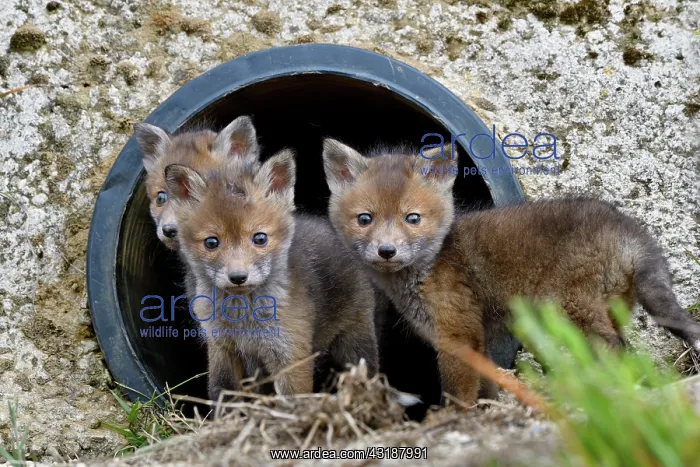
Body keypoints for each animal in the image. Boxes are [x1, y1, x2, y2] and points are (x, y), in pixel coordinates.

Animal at [165, 150, 378, 400]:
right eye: (211, 242)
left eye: (259, 238)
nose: (238, 277)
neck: (243, 320)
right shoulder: (222, 348)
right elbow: (222, 391)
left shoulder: (291, 356)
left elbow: (293, 399)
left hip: (355, 340)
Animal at [321, 138, 700, 406]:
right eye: (365, 219)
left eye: (412, 218)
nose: (387, 251)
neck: (431, 263)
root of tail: (628, 226)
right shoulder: (477, 338)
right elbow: (488, 386)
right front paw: (489, 411)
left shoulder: (459, 335)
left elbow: (458, 393)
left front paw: (456, 418)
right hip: (607, 311)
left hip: (576, 311)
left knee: (617, 349)